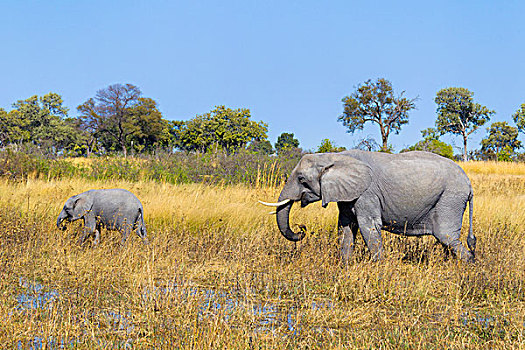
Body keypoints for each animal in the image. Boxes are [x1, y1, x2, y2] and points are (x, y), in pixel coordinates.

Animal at [258, 150, 474, 262]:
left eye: (302, 179)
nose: (302, 229)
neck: (334, 157)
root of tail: (469, 183)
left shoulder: (367, 194)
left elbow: (368, 227)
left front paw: (380, 269)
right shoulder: (347, 196)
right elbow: (345, 228)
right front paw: (345, 267)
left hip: (450, 199)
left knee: (447, 236)